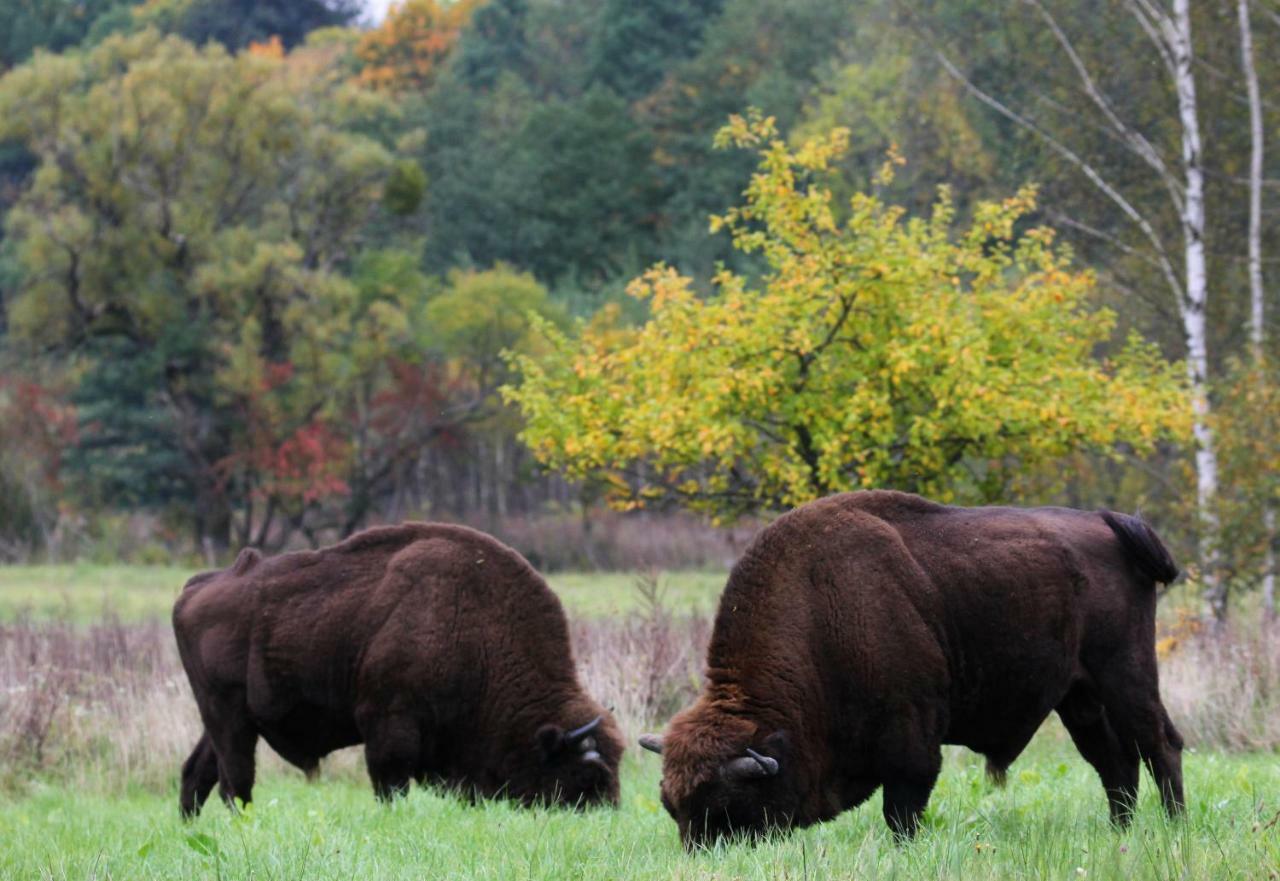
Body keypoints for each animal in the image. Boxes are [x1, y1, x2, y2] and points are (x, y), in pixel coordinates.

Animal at [175, 522, 624, 819]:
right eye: (587, 773)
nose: (608, 813)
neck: (477, 626)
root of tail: (198, 587)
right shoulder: (390, 723)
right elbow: (391, 782)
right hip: (229, 718)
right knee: (235, 780)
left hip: (223, 722)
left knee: (199, 772)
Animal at [640, 491, 1187, 845]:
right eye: (671, 805)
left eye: (725, 805)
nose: (699, 852)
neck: (821, 607)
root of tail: (1108, 522)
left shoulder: (910, 736)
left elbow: (902, 807)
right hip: (1079, 698)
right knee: (1114, 762)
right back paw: (1120, 832)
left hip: (1126, 676)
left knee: (1160, 745)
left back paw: (1173, 826)